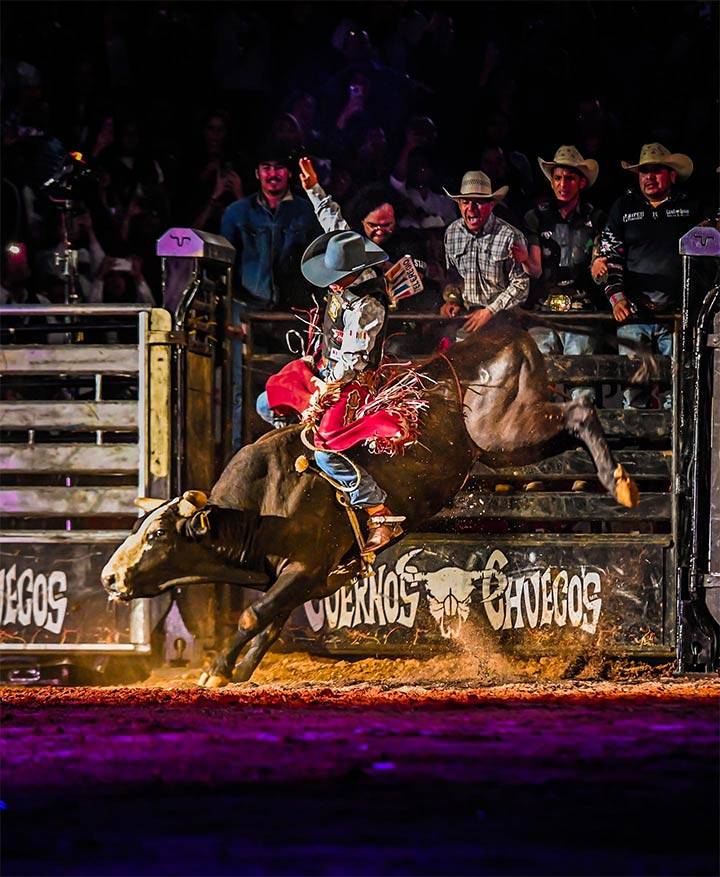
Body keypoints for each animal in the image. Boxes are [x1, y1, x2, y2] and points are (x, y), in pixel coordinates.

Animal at [101, 318, 636, 688]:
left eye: (156, 534)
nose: (109, 576)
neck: (259, 507)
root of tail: (509, 336)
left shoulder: (304, 567)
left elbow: (254, 616)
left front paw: (216, 669)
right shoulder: (307, 579)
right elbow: (269, 624)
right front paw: (240, 670)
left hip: (506, 433)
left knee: (581, 410)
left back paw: (620, 483)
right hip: (515, 443)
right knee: (573, 419)